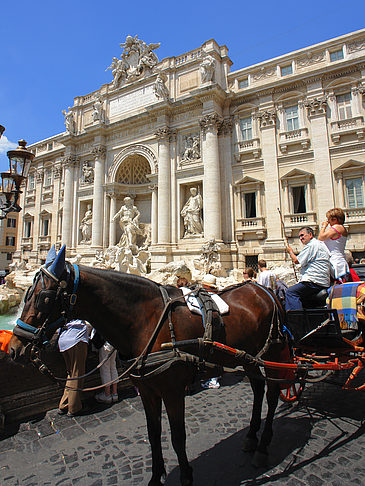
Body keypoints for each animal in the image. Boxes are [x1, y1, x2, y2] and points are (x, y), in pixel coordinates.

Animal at [8, 247, 290, 486]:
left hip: (273, 352)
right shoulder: (146, 389)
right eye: (27, 293)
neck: (147, 320)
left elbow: (177, 435)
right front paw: (156, 477)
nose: (14, 348)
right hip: (248, 356)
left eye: (45, 297)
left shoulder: (173, 390)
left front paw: (186, 476)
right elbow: (154, 434)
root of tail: (265, 291)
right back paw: (251, 437)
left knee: (273, 393)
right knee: (258, 390)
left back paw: (263, 446)